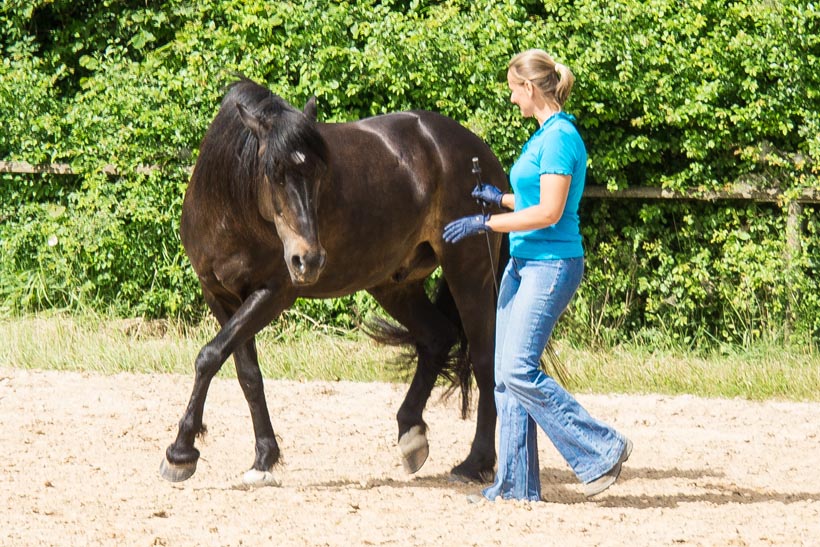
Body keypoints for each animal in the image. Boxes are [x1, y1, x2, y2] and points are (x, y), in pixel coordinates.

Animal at [159, 76, 506, 484]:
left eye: (320, 174)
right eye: (273, 173)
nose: (308, 260)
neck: (231, 210)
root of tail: (482, 155)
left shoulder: (272, 294)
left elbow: (210, 356)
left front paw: (180, 452)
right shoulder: (220, 296)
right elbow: (245, 373)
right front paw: (263, 457)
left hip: (469, 271)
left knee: (483, 359)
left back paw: (476, 462)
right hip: (394, 283)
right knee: (437, 338)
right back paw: (411, 435)